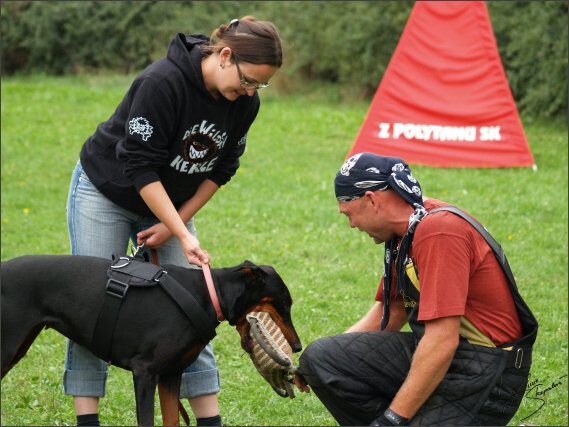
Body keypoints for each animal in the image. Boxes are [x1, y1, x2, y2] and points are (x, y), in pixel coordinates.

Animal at [1, 256, 302, 426]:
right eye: (285, 303)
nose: (298, 346)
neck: (209, 294)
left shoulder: (171, 375)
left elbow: (172, 420)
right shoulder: (144, 372)